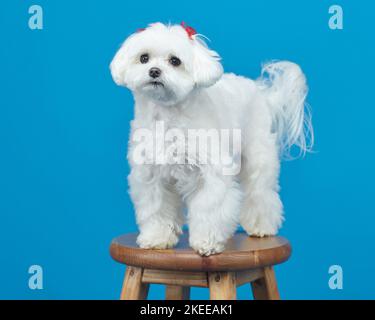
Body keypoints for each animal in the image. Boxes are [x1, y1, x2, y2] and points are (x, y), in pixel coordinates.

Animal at [109, 21, 314, 255]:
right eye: (144, 58)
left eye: (175, 61)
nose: (154, 71)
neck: (168, 117)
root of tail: (259, 91)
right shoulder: (150, 176)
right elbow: (156, 208)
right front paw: (156, 237)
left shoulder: (212, 174)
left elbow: (210, 208)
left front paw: (207, 242)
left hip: (258, 155)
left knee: (260, 191)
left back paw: (261, 225)